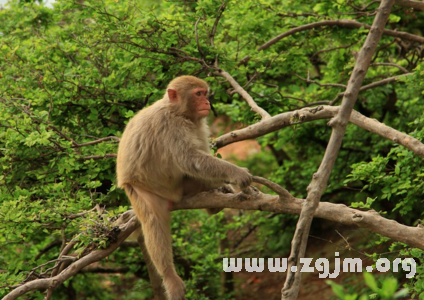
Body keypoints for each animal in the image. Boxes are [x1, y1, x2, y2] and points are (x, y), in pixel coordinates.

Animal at [116, 75, 252, 300]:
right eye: (198, 94)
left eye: (205, 93)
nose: (207, 103)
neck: (178, 111)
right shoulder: (172, 126)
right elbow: (191, 160)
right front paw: (237, 174)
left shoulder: (197, 123)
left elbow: (201, 154)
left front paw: (227, 185)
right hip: (140, 191)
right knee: (153, 222)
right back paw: (169, 276)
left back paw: (215, 201)